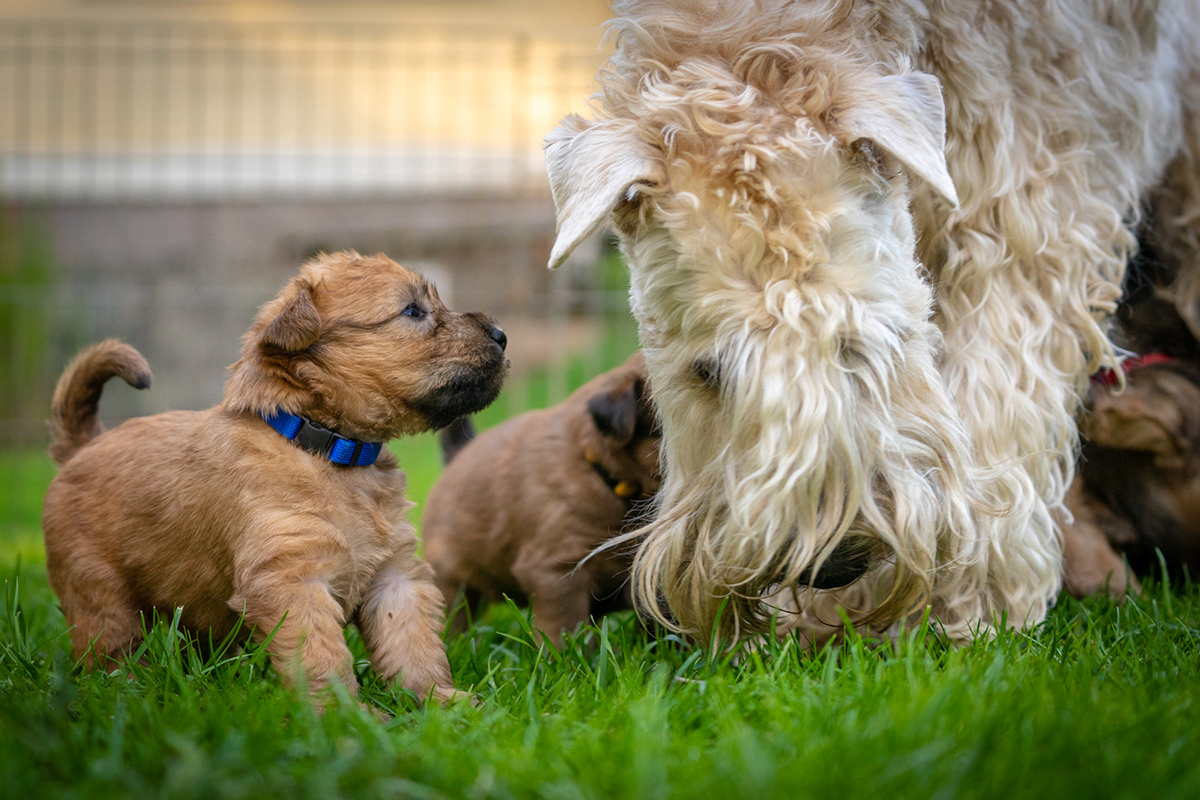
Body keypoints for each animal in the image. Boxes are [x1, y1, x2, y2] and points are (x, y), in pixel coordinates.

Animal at [42, 251, 508, 705]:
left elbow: (413, 642)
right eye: (412, 310)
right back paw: (125, 688)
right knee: (108, 646)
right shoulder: (291, 579)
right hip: (99, 592)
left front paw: (439, 700)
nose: (501, 334)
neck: (326, 447)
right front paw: (344, 714)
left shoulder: (395, 575)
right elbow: (321, 653)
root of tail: (83, 445)